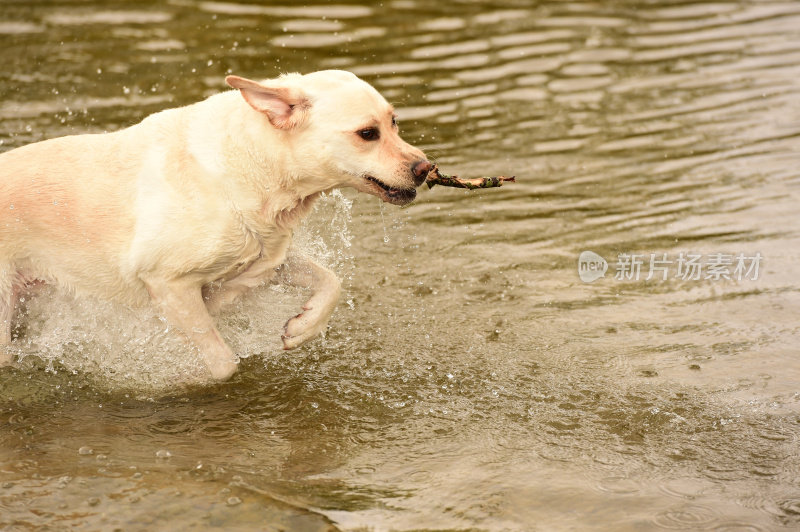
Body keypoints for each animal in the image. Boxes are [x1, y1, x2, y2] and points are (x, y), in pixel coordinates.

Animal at [0, 70, 432, 380]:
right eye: (367, 133)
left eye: (394, 122)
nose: (426, 168)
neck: (255, 165)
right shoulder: (168, 283)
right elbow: (223, 362)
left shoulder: (265, 259)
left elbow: (331, 281)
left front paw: (302, 327)